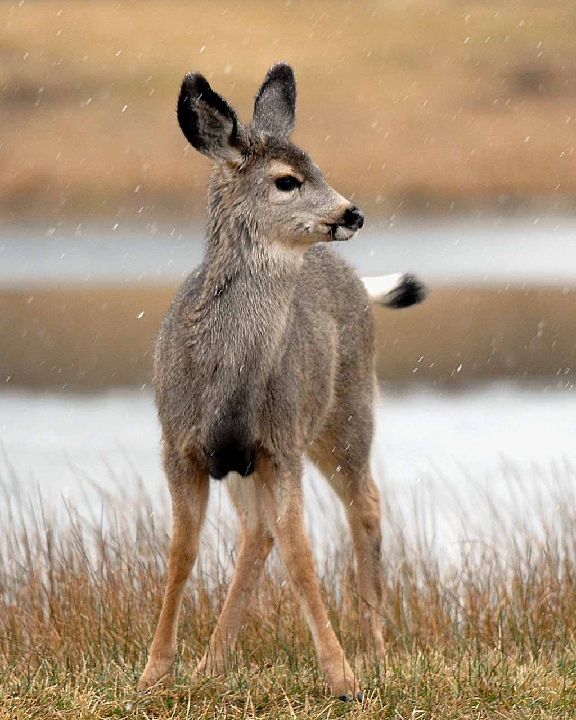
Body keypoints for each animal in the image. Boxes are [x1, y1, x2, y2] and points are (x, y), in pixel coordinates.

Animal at [138, 63, 428, 704]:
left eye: (317, 165)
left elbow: (300, 554)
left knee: (364, 503)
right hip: (253, 460)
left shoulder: (281, 444)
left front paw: (344, 678)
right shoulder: (180, 446)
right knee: (256, 534)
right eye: (287, 180)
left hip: (347, 413)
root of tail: (359, 280)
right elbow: (181, 552)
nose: (352, 213)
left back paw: (376, 651)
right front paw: (155, 671)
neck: (221, 385)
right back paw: (211, 663)